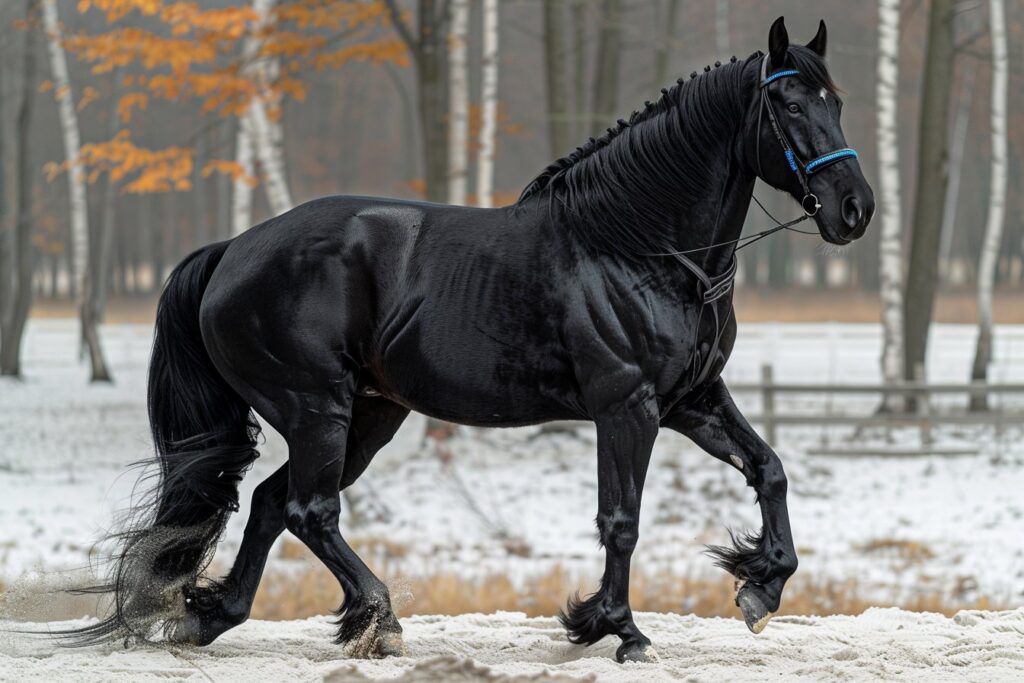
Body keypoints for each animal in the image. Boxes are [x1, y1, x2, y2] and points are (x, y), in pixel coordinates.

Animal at [65, 17, 873, 663]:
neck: (636, 245)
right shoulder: (629, 407)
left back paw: (220, 616)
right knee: (308, 511)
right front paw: (617, 627)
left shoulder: (693, 399)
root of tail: (233, 249)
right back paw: (379, 618)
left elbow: (769, 470)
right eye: (788, 103)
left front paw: (762, 586)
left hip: (369, 414)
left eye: (835, 100)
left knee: (270, 503)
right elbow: (622, 521)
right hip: (316, 406)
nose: (854, 208)